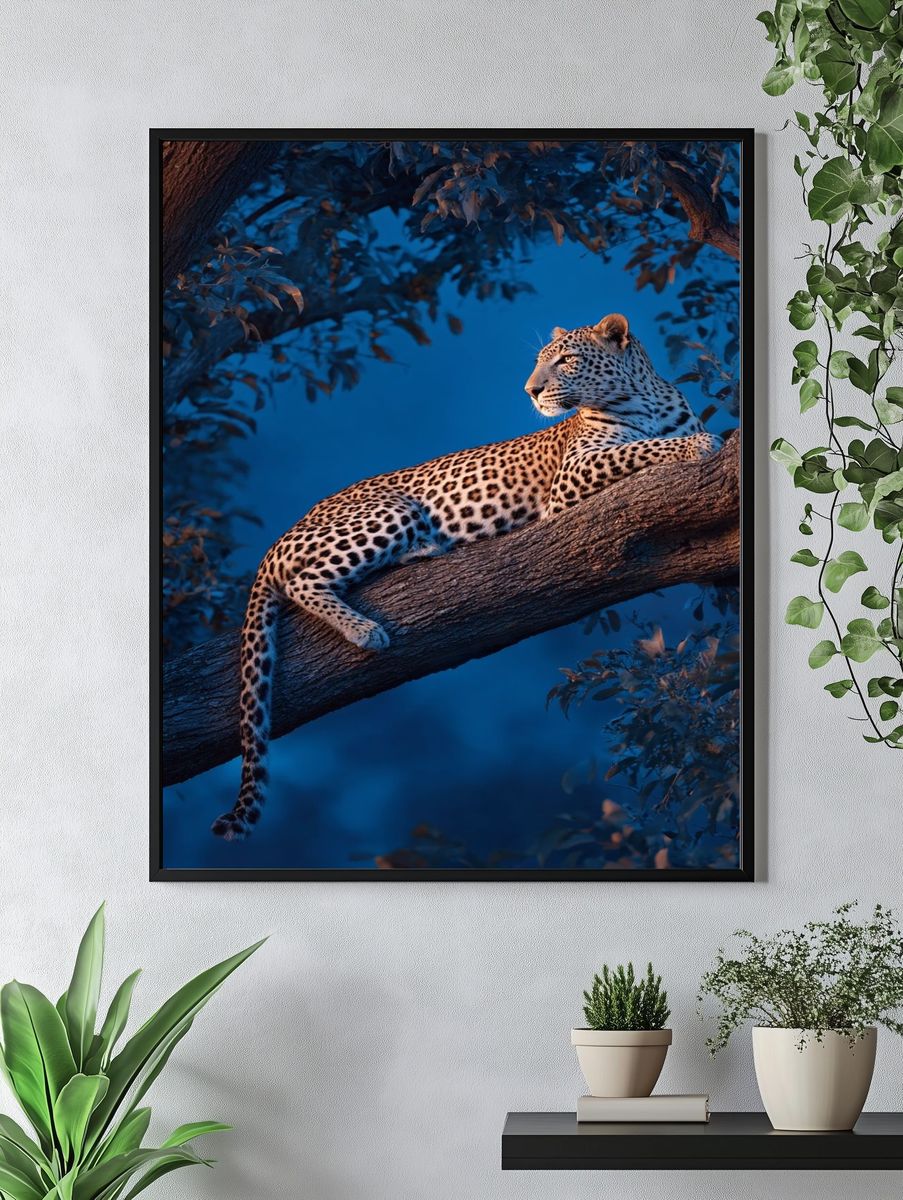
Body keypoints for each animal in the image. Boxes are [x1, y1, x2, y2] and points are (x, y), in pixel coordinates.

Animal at [211, 312, 720, 839]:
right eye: (540, 362)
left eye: (565, 360)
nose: (530, 391)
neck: (643, 398)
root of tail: (280, 537)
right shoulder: (573, 476)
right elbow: (642, 449)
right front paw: (699, 444)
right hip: (390, 512)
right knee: (302, 581)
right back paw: (366, 628)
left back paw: (423, 551)